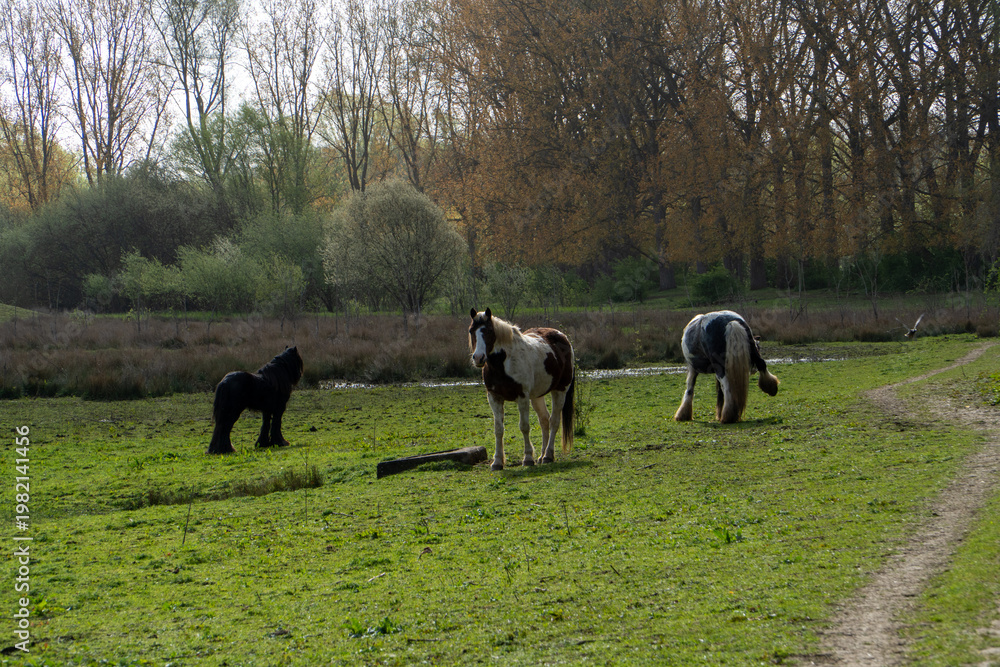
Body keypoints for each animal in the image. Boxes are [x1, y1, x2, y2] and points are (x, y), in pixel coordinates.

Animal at [469, 308, 575, 471]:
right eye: (471, 331)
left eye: (489, 331)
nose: (479, 358)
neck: (503, 363)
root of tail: (562, 337)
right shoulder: (494, 397)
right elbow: (498, 429)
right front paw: (497, 461)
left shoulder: (522, 397)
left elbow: (524, 427)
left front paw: (528, 458)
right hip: (537, 396)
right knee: (544, 420)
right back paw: (542, 456)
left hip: (560, 391)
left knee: (554, 422)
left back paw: (548, 455)